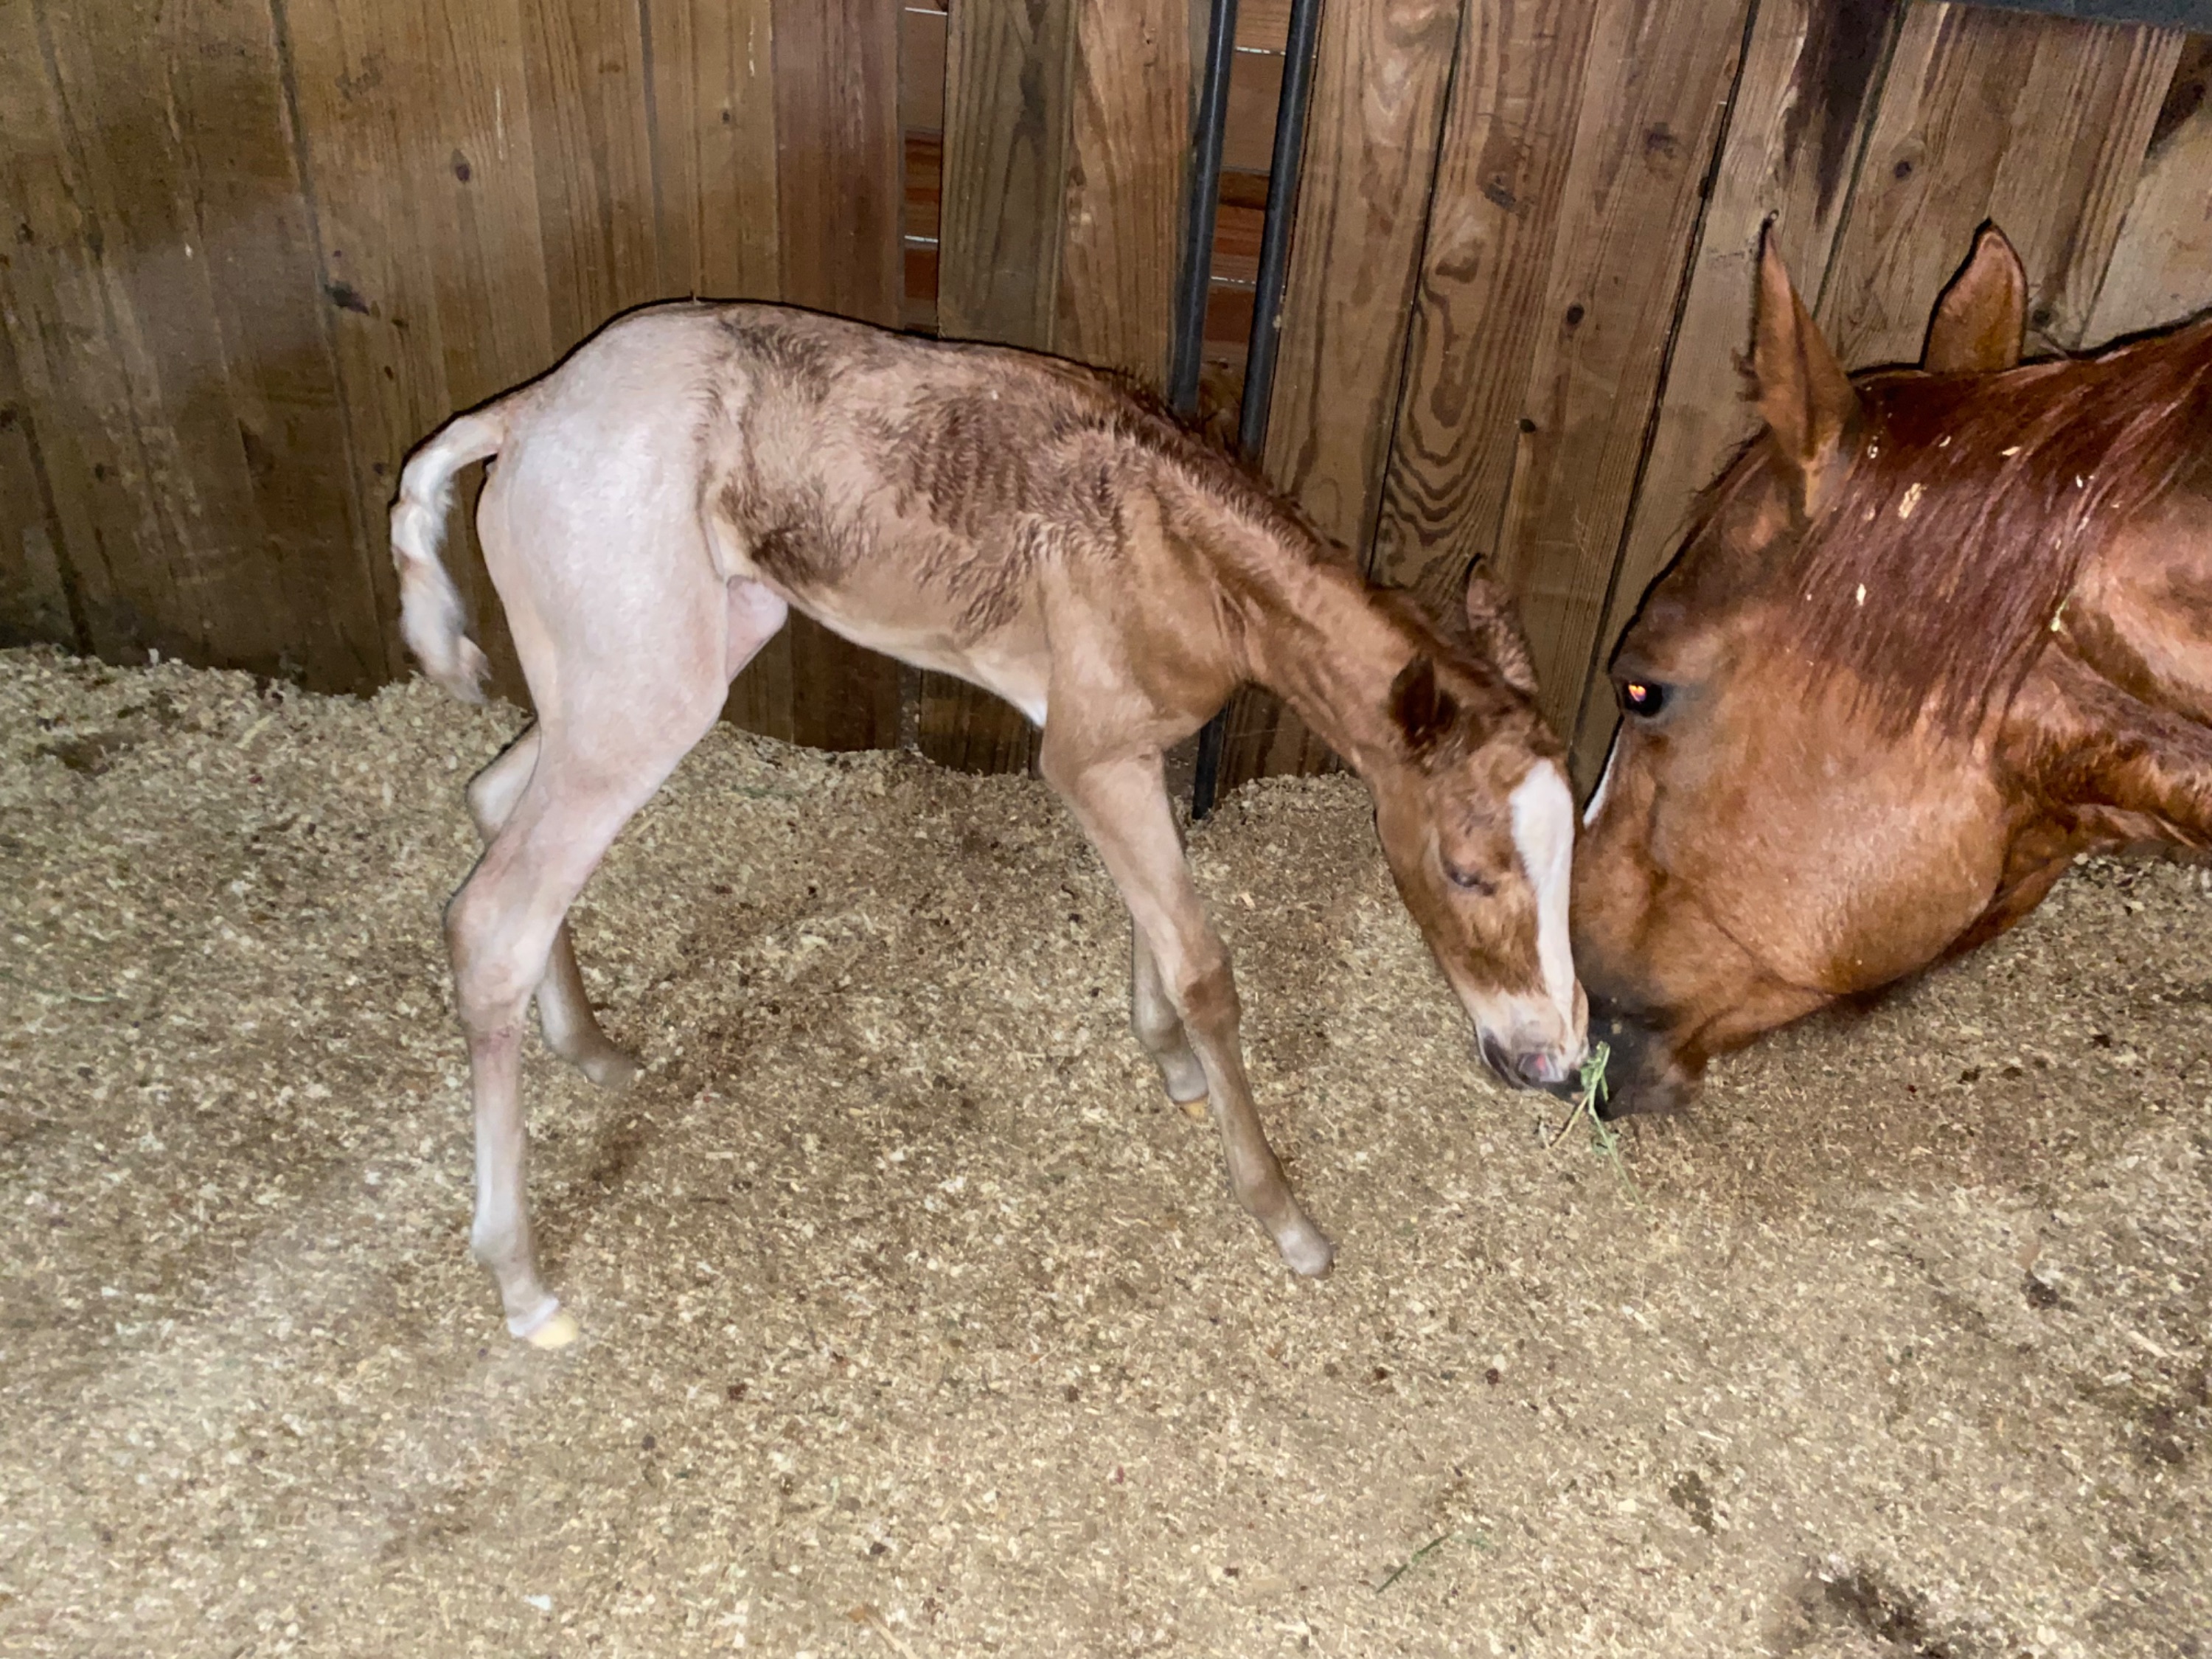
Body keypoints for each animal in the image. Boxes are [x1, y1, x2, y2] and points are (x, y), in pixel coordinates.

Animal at [392, 303, 1586, 1344]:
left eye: (1571, 854)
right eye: (1466, 869)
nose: (1555, 1062)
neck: (1181, 554)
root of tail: (524, 410)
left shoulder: (1131, 749)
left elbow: (1160, 923)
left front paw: (1170, 1063)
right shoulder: (1086, 754)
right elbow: (1204, 967)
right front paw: (1287, 1219)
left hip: (670, 658)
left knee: (496, 806)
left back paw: (592, 1049)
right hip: (645, 690)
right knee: (493, 918)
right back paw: (522, 1283)